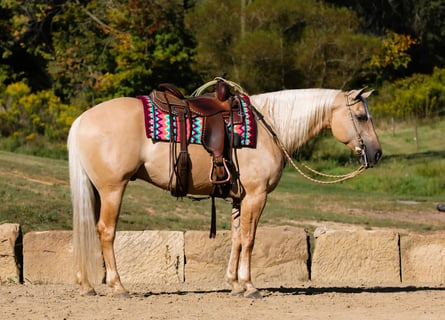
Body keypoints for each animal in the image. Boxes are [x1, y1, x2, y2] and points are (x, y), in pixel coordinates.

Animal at [67, 85, 380, 298]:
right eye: (361, 116)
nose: (376, 154)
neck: (269, 127)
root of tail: (82, 119)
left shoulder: (240, 198)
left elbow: (237, 239)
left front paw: (234, 283)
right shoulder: (256, 196)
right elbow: (250, 239)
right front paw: (250, 286)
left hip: (96, 190)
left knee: (86, 228)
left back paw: (86, 285)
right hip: (112, 189)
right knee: (106, 231)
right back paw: (118, 286)